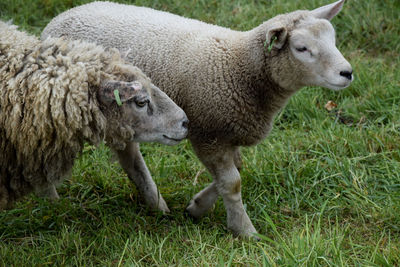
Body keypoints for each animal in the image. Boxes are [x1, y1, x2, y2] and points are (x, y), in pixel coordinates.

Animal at [42, 0, 352, 239]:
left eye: (334, 40)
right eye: (301, 48)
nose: (347, 73)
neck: (239, 68)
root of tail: (59, 19)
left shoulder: (226, 133)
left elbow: (235, 169)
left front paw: (197, 206)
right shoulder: (208, 134)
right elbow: (232, 182)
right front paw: (245, 230)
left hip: (124, 116)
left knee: (129, 157)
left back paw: (155, 203)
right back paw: (51, 202)